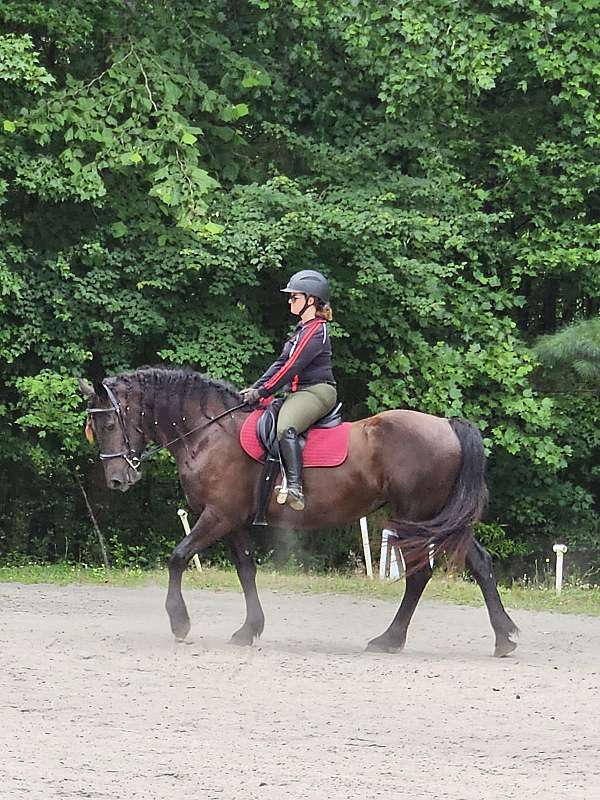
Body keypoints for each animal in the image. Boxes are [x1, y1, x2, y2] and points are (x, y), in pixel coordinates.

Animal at [81, 368, 520, 656]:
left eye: (109, 425)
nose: (117, 479)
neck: (209, 433)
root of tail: (446, 424)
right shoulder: (233, 521)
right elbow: (246, 569)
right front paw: (249, 629)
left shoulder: (217, 515)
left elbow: (177, 557)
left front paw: (180, 623)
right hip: (438, 517)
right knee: (479, 564)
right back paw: (504, 638)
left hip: (414, 517)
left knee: (419, 576)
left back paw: (390, 640)